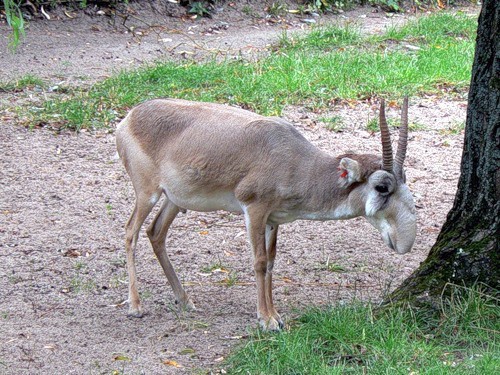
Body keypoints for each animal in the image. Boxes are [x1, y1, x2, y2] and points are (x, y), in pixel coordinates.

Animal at [115, 97, 416, 332]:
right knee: (130, 232)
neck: (296, 161)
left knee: (155, 232)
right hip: (147, 193)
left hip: (174, 200)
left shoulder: (273, 219)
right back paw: (135, 306)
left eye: (404, 180)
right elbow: (259, 261)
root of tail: (129, 118)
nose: (404, 242)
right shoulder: (255, 210)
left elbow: (271, 262)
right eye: (381, 186)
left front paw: (275, 315)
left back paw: (185, 300)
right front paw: (266, 321)